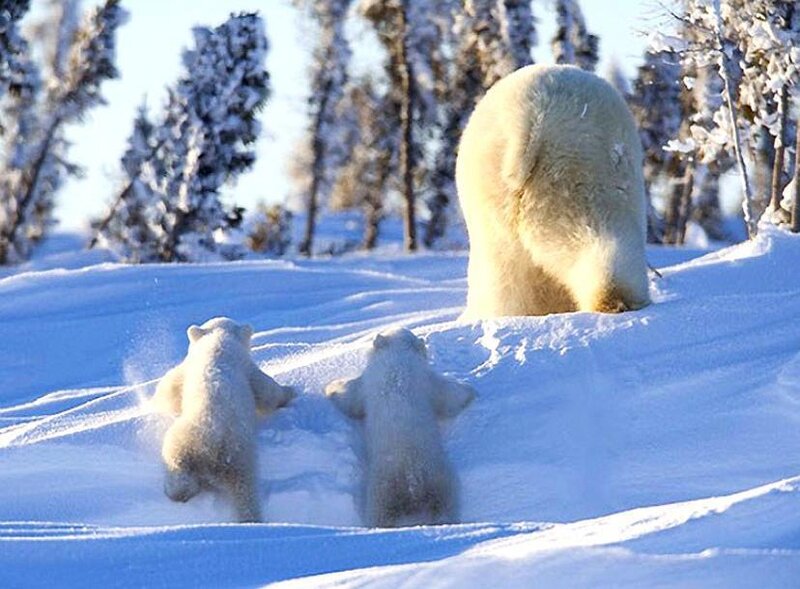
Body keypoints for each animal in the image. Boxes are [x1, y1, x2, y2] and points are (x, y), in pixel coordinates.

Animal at [151, 317, 295, 523]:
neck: (218, 343)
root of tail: (211, 448)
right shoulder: (246, 368)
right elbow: (266, 391)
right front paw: (291, 391)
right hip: (234, 452)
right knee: (245, 490)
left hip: (205, 446)